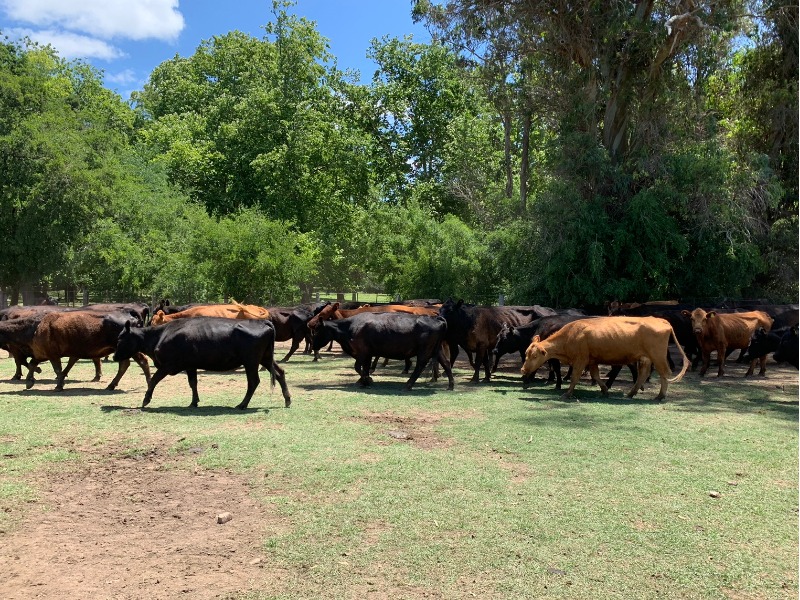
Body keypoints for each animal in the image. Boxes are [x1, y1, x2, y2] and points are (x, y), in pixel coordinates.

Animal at [23, 312, 152, 392]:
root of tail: (131, 317)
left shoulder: (53, 356)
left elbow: (58, 369)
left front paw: (59, 386)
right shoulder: (46, 355)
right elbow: (33, 364)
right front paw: (29, 382)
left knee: (142, 361)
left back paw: (148, 383)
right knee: (125, 364)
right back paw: (111, 386)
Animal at [111, 316, 290, 410]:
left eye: (120, 339)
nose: (114, 357)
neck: (161, 334)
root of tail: (262, 321)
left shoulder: (168, 365)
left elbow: (154, 380)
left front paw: (145, 400)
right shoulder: (190, 365)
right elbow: (193, 383)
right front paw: (194, 402)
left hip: (251, 361)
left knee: (253, 381)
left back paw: (242, 404)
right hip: (265, 359)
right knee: (280, 373)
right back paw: (287, 399)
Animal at [310, 312, 454, 392]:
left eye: (317, 331)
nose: (313, 346)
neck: (349, 327)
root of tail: (436, 318)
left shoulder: (363, 352)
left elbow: (358, 367)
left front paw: (367, 380)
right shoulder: (366, 354)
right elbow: (364, 367)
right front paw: (364, 380)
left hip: (424, 351)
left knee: (420, 365)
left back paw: (408, 385)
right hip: (437, 349)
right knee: (446, 363)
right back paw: (450, 386)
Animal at [520, 316, 692, 400]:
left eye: (534, 355)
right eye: (526, 353)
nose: (523, 369)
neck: (571, 335)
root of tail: (661, 320)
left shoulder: (581, 360)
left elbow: (575, 377)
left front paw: (567, 394)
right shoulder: (592, 361)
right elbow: (596, 375)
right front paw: (604, 390)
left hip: (658, 356)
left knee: (664, 373)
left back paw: (660, 396)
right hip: (645, 358)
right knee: (643, 374)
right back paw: (631, 393)